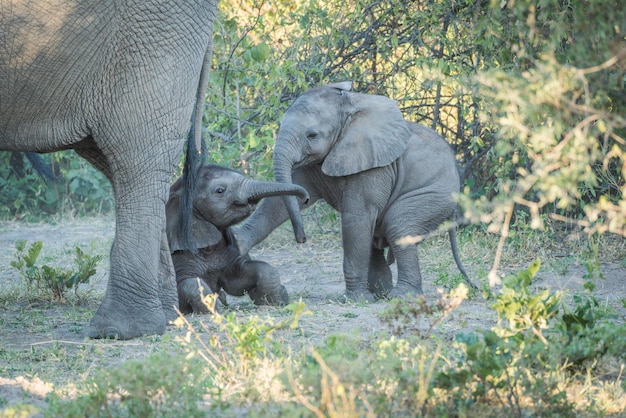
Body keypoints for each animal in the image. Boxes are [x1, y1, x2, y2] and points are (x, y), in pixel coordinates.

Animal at [165, 163, 308, 314]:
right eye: (220, 191)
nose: (306, 198)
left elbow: (240, 278)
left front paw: (275, 301)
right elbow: (188, 283)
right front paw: (216, 311)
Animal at [236, 81, 476, 300]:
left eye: (312, 135)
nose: (302, 239)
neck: (349, 109)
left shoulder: (374, 165)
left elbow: (357, 217)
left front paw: (356, 299)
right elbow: (277, 202)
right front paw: (238, 245)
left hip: (435, 195)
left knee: (399, 226)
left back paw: (400, 296)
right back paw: (381, 293)